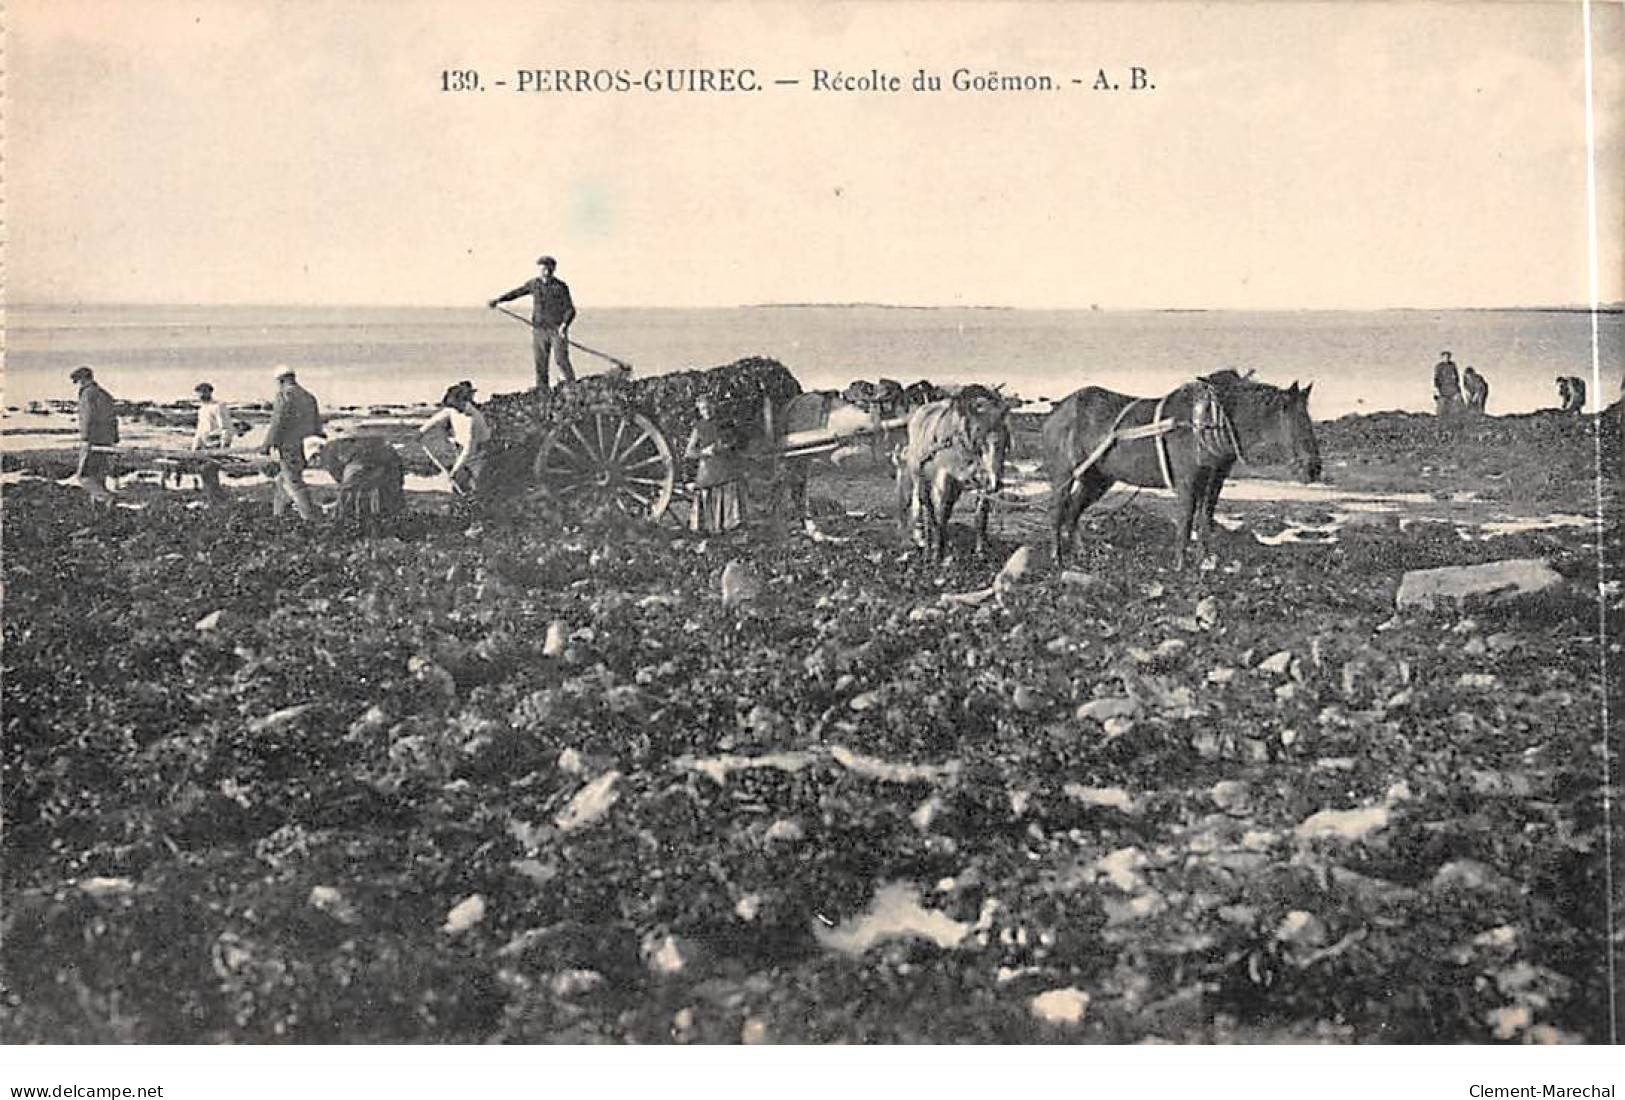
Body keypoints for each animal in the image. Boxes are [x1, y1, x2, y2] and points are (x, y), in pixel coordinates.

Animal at [897, 383, 1007, 558]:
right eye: (978, 438)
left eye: (1005, 439)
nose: (995, 481)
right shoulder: (944, 479)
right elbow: (940, 512)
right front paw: (938, 552)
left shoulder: (979, 481)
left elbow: (981, 514)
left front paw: (981, 550)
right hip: (920, 477)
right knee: (926, 506)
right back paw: (926, 542)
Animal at [1040, 373, 1319, 571]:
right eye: (1297, 424)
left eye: (1309, 421)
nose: (1314, 469)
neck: (1210, 422)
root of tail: (1057, 412)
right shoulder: (1187, 482)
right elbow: (1185, 523)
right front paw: (1179, 565)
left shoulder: (1213, 481)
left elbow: (1205, 521)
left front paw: (1205, 562)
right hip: (1064, 475)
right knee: (1057, 511)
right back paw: (1056, 557)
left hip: (1097, 478)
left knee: (1073, 511)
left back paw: (1079, 553)